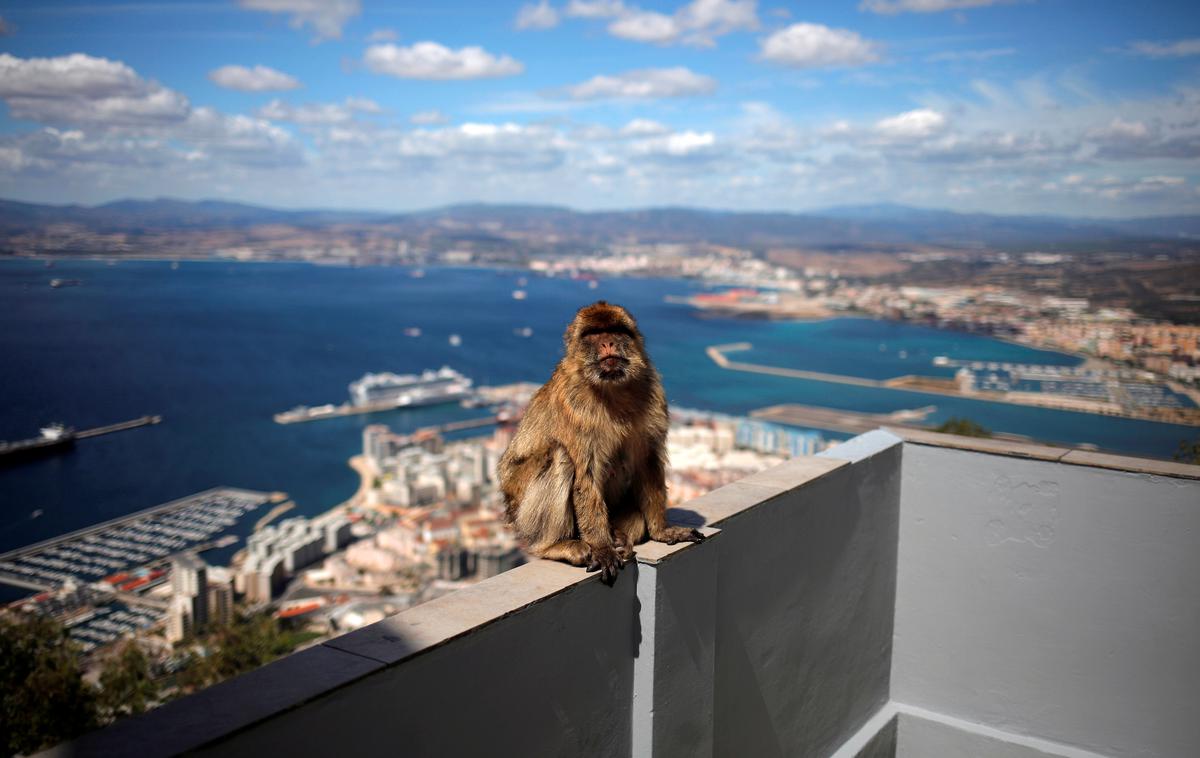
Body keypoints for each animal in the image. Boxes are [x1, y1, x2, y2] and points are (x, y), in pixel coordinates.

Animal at [496, 298, 700, 582]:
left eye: (615, 330)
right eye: (594, 334)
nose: (608, 343)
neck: (613, 389)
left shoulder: (652, 392)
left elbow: (648, 462)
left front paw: (662, 530)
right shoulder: (575, 407)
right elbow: (586, 476)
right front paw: (603, 548)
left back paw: (620, 535)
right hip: (523, 515)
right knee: (560, 455)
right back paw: (556, 545)